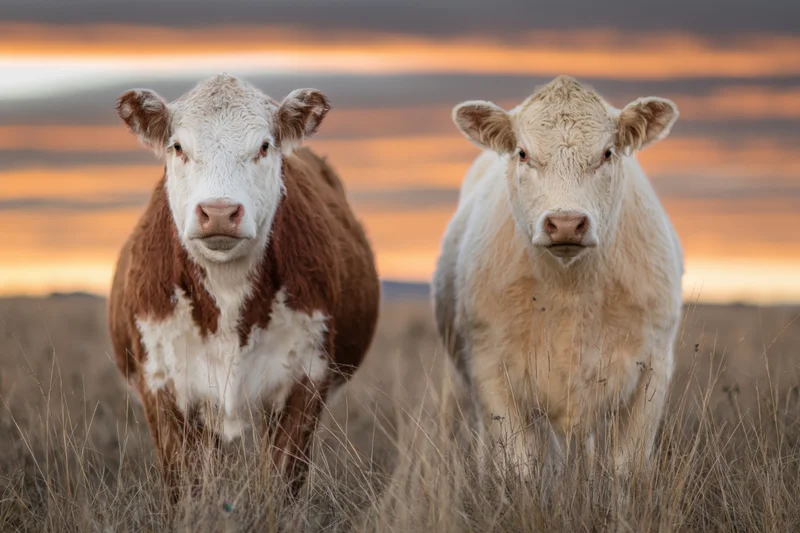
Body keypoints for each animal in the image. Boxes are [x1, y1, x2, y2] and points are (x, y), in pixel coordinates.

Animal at [108, 74, 380, 499]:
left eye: (264, 146)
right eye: (178, 146)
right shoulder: (160, 382)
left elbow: (282, 483)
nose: (219, 211)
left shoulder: (306, 378)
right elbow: (184, 484)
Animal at [433, 76, 683, 478]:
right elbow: (518, 464)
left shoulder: (653, 366)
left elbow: (625, 466)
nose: (566, 223)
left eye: (607, 153)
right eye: (522, 153)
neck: (570, 289)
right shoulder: (489, 368)